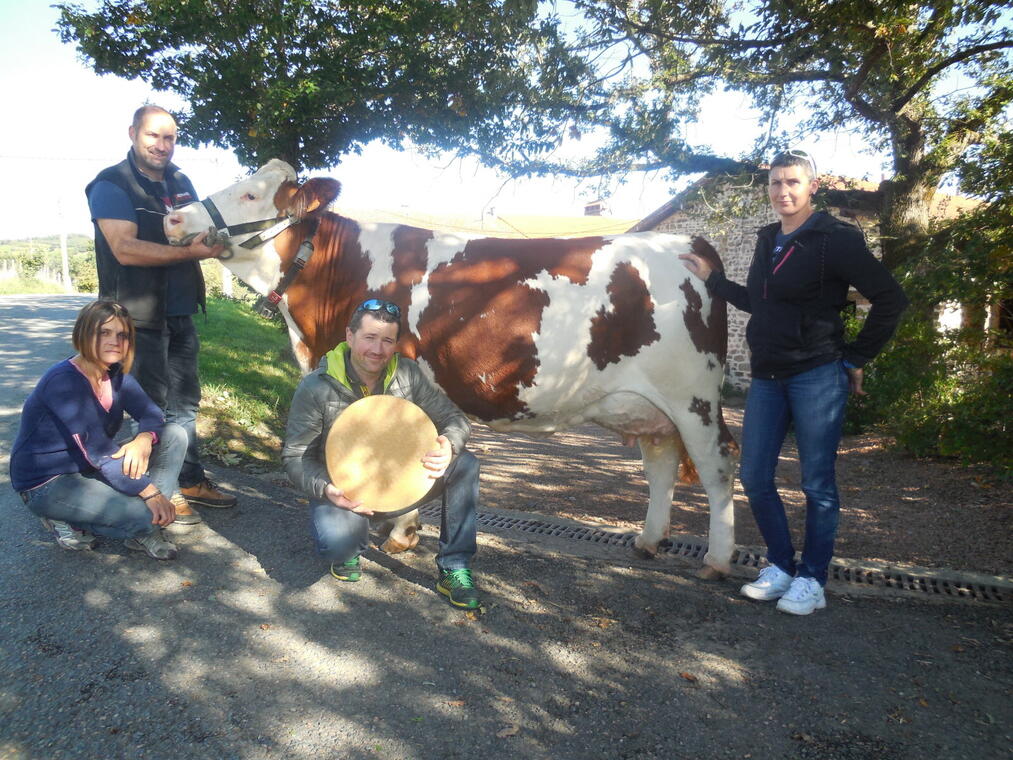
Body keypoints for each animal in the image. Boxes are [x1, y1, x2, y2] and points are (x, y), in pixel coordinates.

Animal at [164, 161, 737, 575]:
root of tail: (688, 243)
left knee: (717, 466)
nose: (173, 218)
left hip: (694, 397)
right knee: (661, 463)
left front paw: (401, 533)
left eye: (250, 195)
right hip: (649, 406)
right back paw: (648, 541)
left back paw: (716, 560)